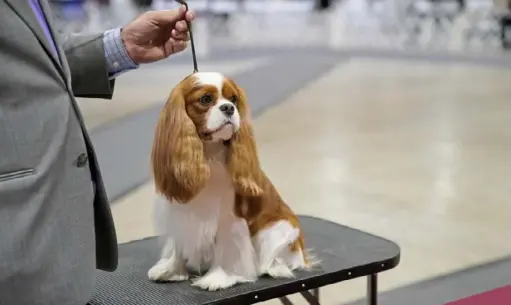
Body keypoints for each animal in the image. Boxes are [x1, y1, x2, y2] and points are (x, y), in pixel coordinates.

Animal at [144, 71, 312, 290]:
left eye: (234, 99)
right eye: (206, 99)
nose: (229, 108)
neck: (208, 154)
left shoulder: (229, 218)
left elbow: (227, 248)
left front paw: (219, 277)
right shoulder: (181, 214)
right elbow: (179, 247)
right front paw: (172, 270)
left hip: (277, 231)